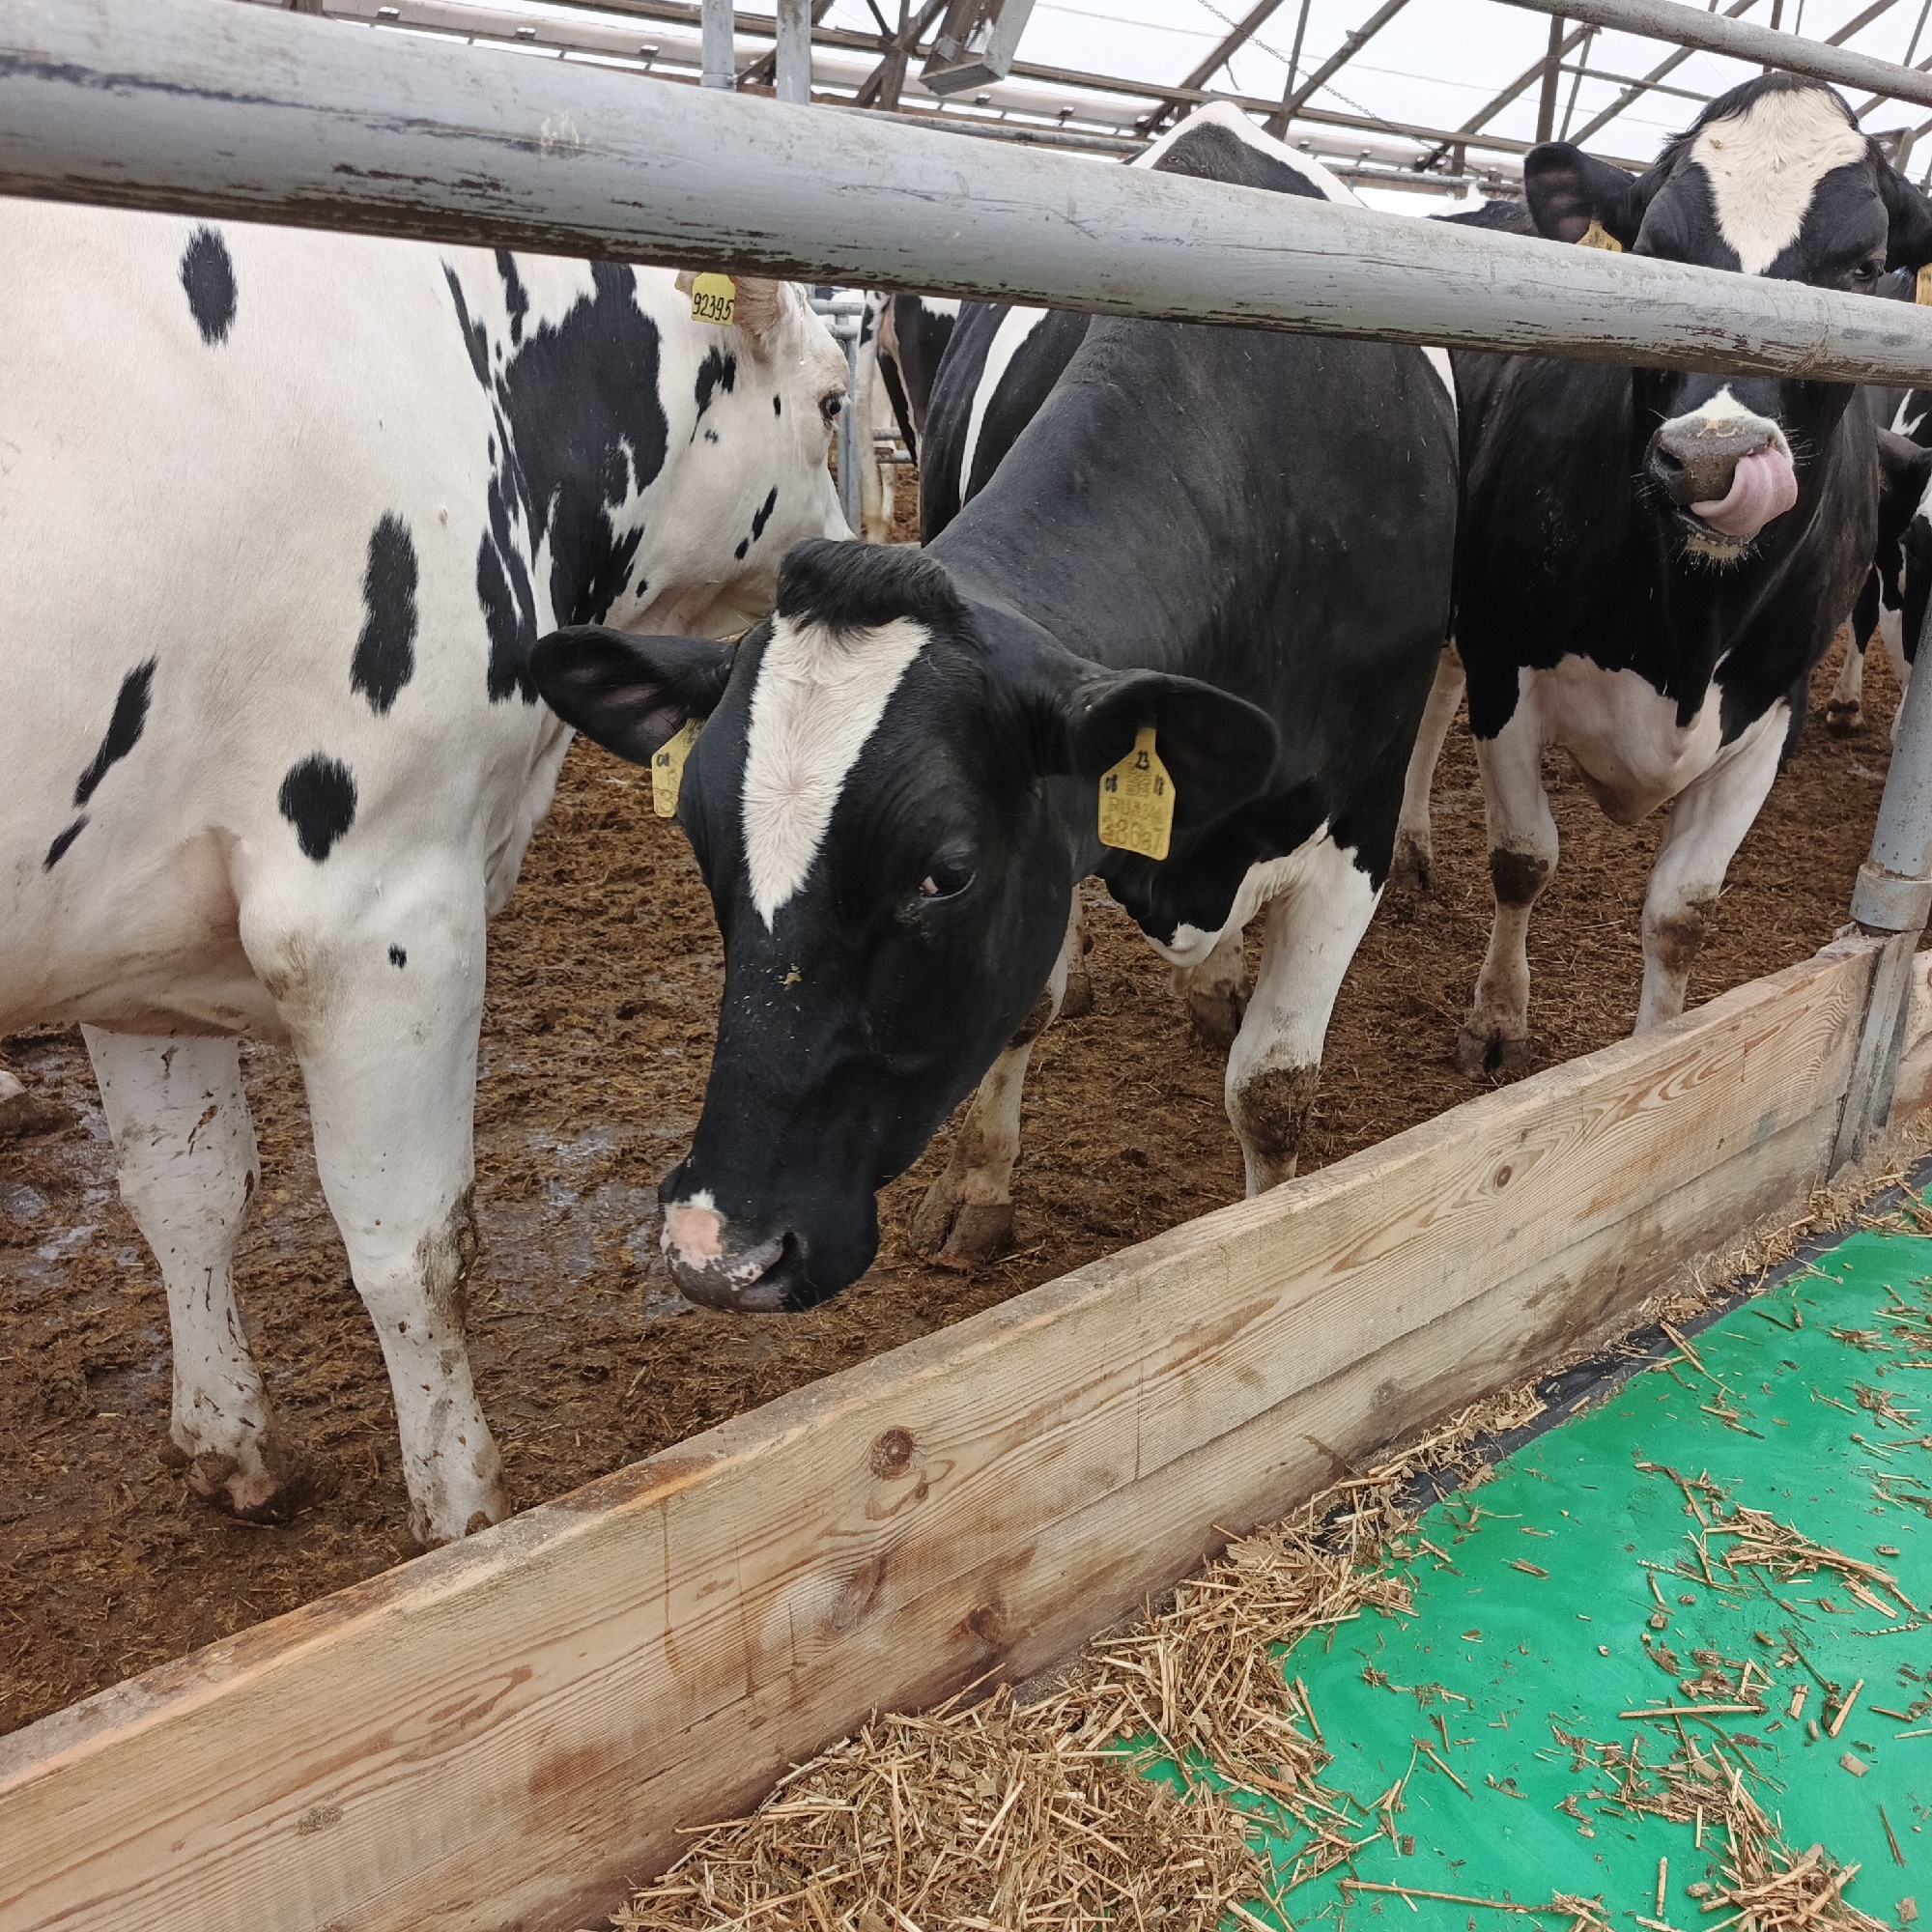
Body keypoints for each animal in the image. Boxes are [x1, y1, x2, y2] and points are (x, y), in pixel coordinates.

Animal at [0, 200, 850, 1545]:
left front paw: (228, 1442)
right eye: (828, 401)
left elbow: (183, 1186)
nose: (853, 559)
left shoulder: (130, 937)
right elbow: (414, 1242)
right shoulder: (375, 906)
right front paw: (464, 1509)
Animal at [532, 102, 1461, 1307]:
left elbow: (1272, 1089)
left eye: (944, 874)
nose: (715, 1248)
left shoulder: (1358, 824)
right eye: (698, 840)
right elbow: (1029, 1001)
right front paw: (978, 1187)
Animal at [1447, 76, 1932, 1078]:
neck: (1686, 623)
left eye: (1866, 267)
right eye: (1655, 254)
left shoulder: (1768, 709)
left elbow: (1682, 912)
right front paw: (1496, 1019)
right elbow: (1523, 856)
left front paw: (1657, 1050)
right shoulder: (1499, 659)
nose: (1714, 461)